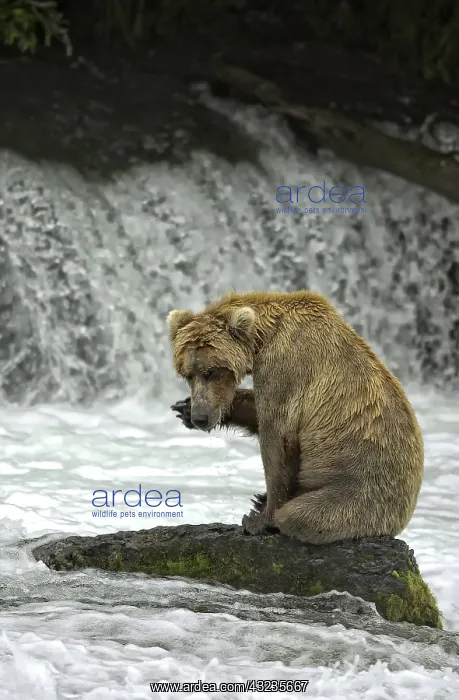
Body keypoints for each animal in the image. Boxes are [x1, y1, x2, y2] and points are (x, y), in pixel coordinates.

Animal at [167, 290, 424, 544]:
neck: (263, 338)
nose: (201, 417)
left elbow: (278, 441)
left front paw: (258, 521)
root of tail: (401, 519)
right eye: (187, 374)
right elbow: (257, 412)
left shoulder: (285, 370)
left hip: (356, 496)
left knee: (300, 514)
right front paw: (184, 408)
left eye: (211, 372)